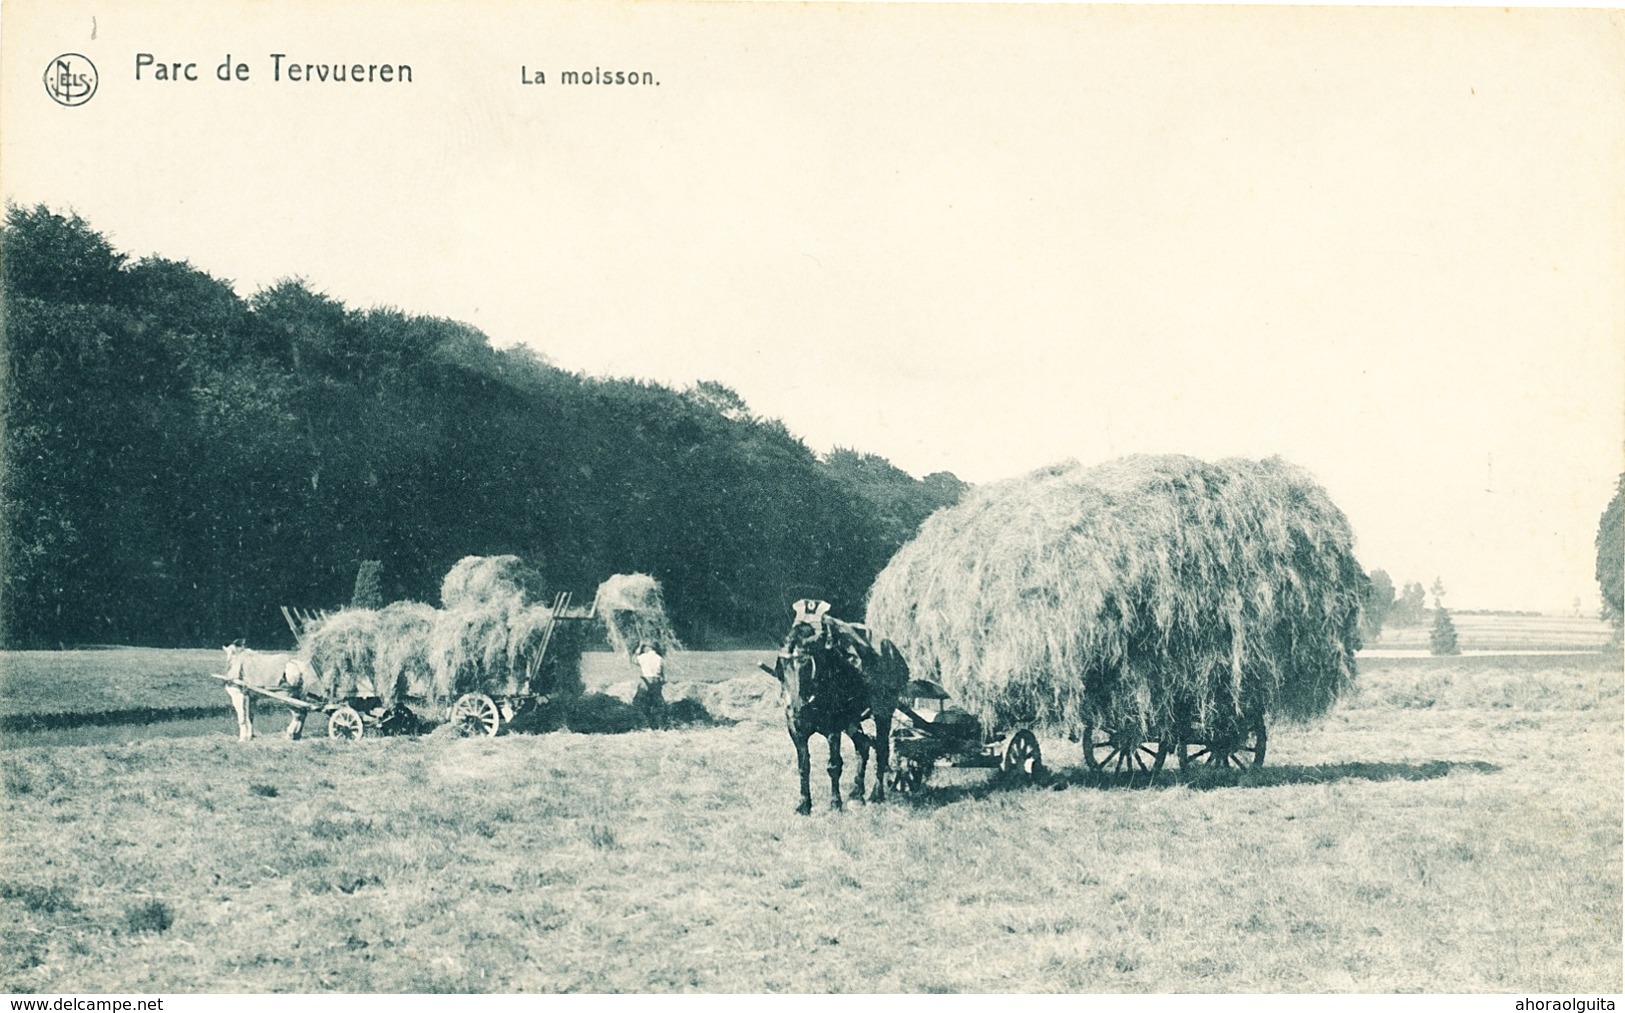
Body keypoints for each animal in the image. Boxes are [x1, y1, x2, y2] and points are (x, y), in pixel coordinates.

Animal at [763, 601, 910, 816]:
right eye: (782, 665)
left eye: (807, 664)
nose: (796, 707)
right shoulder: (796, 730)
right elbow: (803, 766)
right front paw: (804, 804)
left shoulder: (833, 729)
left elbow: (834, 766)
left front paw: (835, 803)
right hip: (851, 720)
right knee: (863, 745)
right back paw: (857, 793)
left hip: (883, 710)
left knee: (882, 749)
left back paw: (876, 794)